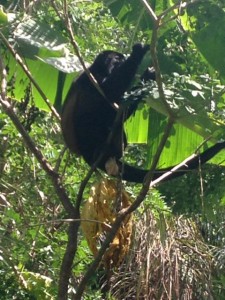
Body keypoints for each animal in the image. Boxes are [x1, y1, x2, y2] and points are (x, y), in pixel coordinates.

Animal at [60, 44, 224, 183]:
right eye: (118, 59)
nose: (122, 60)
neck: (98, 69)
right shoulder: (91, 78)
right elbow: (110, 92)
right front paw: (138, 52)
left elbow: (119, 106)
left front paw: (148, 75)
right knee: (89, 114)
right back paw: (100, 149)